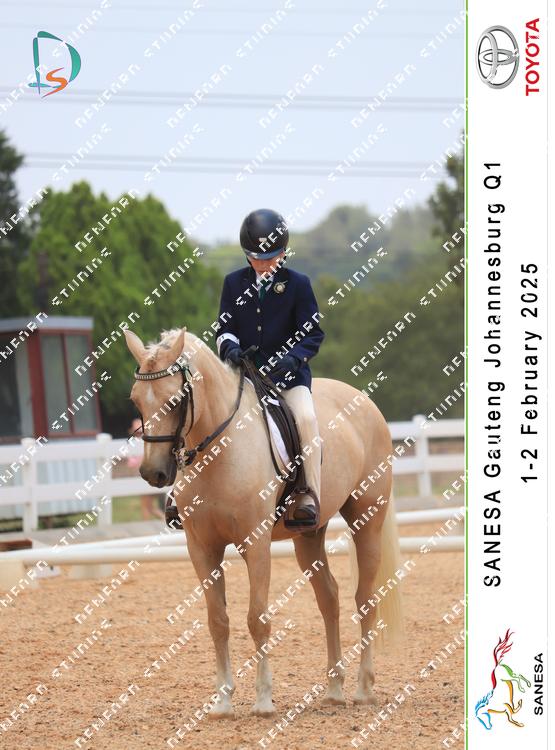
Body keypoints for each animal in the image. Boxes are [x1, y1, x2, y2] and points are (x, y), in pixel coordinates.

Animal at [124, 326, 403, 717]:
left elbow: (257, 618)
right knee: (329, 598)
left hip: (368, 519)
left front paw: (263, 700)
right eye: (136, 401)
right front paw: (223, 701)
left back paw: (364, 689)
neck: (220, 450)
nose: (154, 473)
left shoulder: (255, 543)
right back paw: (334, 689)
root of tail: (363, 400)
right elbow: (218, 621)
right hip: (308, 535)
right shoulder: (202, 548)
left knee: (365, 599)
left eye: (177, 400)